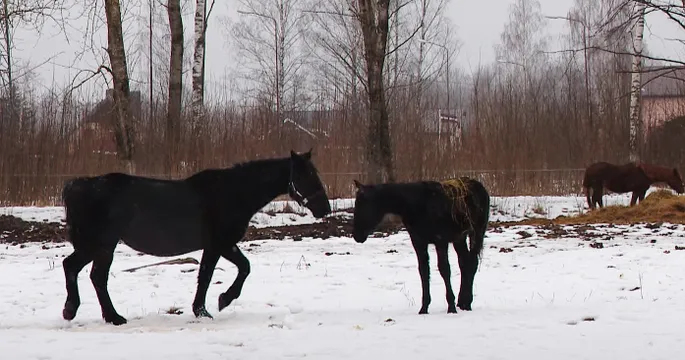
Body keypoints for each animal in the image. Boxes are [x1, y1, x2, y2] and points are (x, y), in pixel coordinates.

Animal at [58, 150, 332, 324]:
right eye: (305, 175)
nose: (325, 208)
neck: (233, 192)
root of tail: (79, 185)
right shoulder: (218, 244)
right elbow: (209, 276)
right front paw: (209, 307)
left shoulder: (224, 245)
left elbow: (241, 268)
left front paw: (218, 302)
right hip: (102, 244)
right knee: (84, 272)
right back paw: (90, 314)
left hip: (100, 246)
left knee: (84, 272)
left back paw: (97, 314)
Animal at [350, 178, 488, 316]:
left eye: (363, 205)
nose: (357, 235)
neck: (417, 206)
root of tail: (480, 187)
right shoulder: (418, 242)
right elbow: (423, 271)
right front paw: (424, 308)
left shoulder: (440, 241)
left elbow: (444, 270)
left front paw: (451, 307)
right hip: (459, 239)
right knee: (464, 263)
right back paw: (462, 302)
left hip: (476, 233)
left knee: (472, 263)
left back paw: (467, 303)